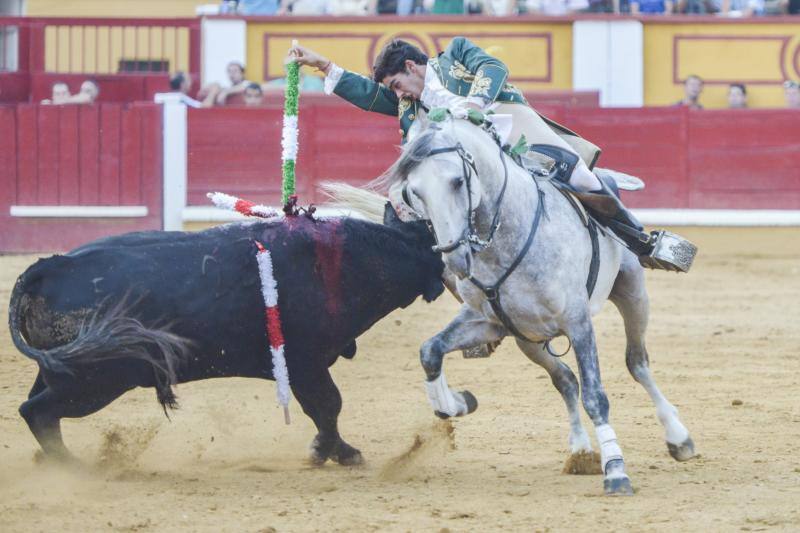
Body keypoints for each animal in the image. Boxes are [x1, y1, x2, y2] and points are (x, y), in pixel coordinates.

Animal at [6, 206, 444, 464]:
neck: (343, 263)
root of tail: (49, 267)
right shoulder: (306, 364)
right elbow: (328, 406)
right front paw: (336, 452)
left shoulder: (302, 369)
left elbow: (322, 410)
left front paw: (333, 451)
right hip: (96, 380)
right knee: (37, 411)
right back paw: (73, 467)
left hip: (65, 373)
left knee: (35, 409)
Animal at [324, 115, 692, 494]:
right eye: (415, 192)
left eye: (458, 181)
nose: (454, 258)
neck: (505, 241)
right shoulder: (489, 322)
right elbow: (430, 351)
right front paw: (456, 403)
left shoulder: (578, 322)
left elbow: (596, 395)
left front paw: (617, 470)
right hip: (529, 339)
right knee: (565, 379)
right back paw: (580, 450)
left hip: (632, 291)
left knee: (636, 363)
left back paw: (678, 438)